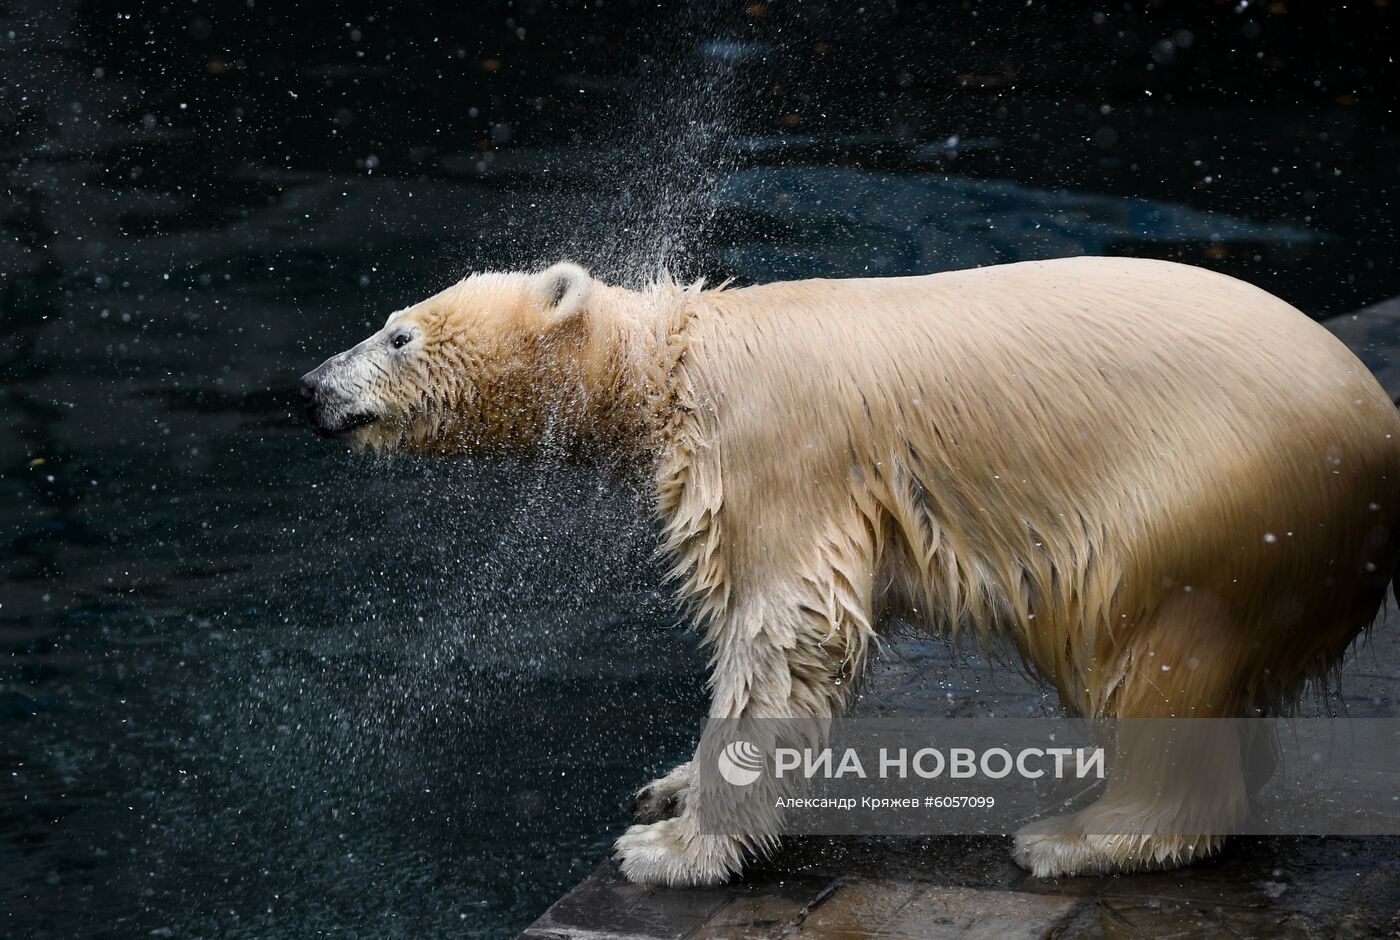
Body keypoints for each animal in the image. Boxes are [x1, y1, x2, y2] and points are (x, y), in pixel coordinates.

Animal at [298, 254, 1400, 885]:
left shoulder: (773, 450)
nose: (308, 386)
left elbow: (783, 631)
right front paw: (666, 787)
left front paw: (674, 849)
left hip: (1205, 503)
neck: (672, 358)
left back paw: (1078, 837)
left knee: (1157, 657)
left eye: (397, 332)